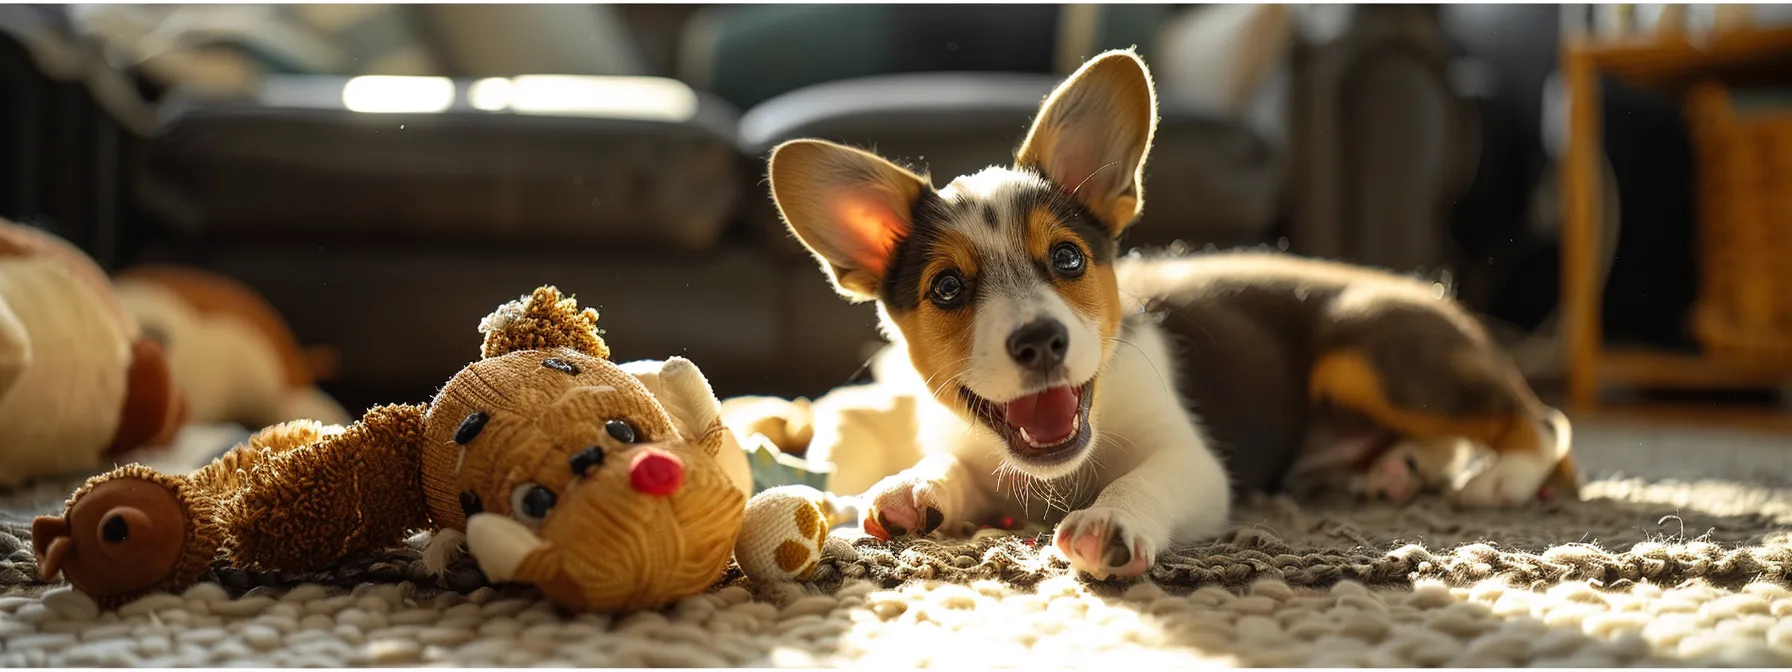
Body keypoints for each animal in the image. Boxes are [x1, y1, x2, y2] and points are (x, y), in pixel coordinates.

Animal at [763, 49, 1576, 580]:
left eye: (1067, 260)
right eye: (948, 290)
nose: (1040, 341)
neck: (1063, 467)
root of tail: (1436, 295)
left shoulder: (1194, 462)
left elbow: (1141, 482)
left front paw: (1111, 522)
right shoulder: (971, 446)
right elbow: (950, 465)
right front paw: (912, 490)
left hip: (1373, 354)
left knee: (1542, 421)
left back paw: (1502, 478)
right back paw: (1397, 471)